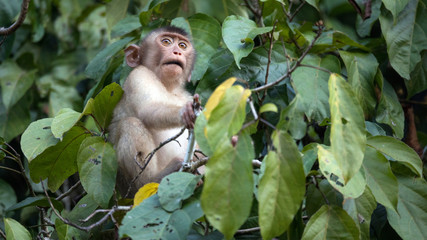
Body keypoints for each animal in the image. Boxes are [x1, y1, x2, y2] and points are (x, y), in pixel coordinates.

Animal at [108, 26, 199, 197]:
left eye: (183, 45)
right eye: (166, 42)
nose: (177, 52)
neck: (168, 87)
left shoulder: (186, 96)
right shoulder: (139, 75)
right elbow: (148, 109)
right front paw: (185, 112)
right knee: (130, 123)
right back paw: (152, 180)